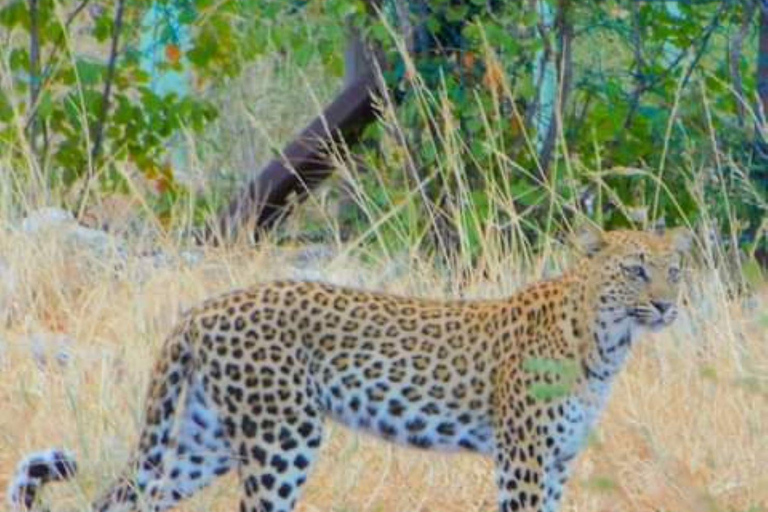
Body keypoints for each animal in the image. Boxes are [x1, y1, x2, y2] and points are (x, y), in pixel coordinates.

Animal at [7, 227, 688, 512]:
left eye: (674, 269)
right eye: (636, 270)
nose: (665, 304)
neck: (606, 342)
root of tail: (202, 309)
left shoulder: (557, 460)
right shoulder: (522, 458)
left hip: (204, 438)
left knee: (123, 498)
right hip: (280, 437)